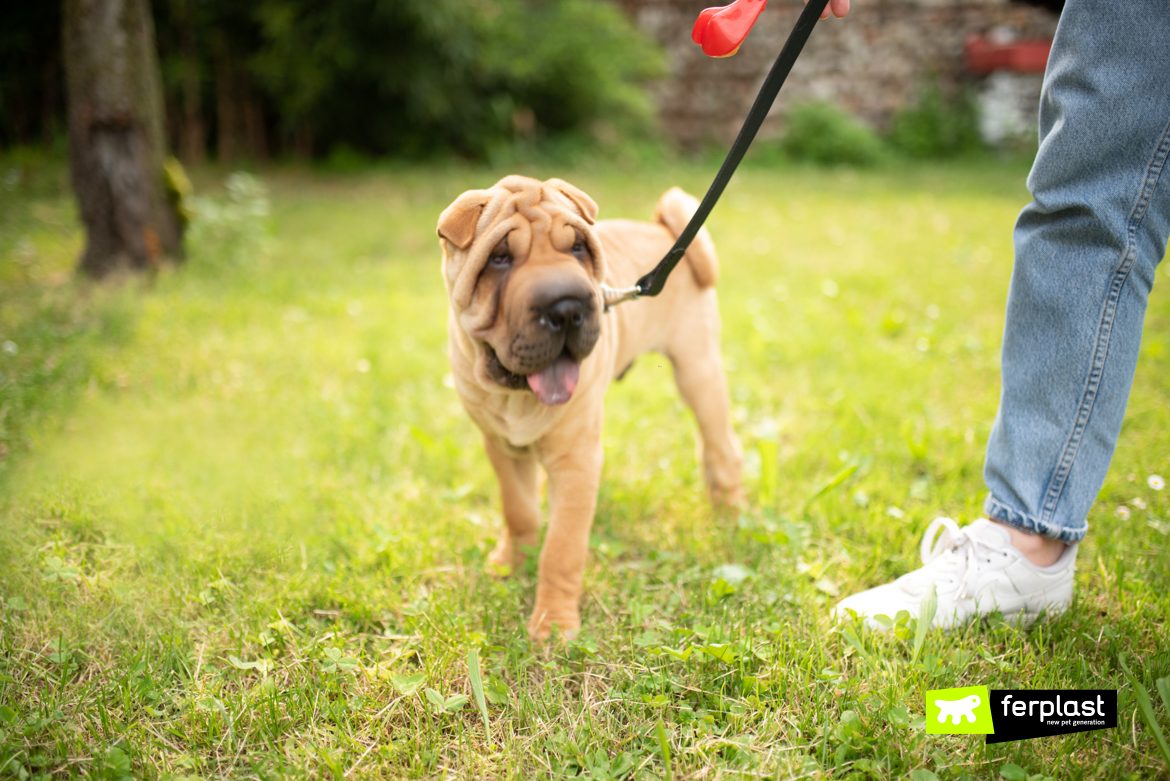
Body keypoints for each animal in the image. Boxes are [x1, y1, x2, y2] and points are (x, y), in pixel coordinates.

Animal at [435, 178, 744, 640]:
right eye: (500, 258)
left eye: (578, 248)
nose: (566, 307)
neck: (516, 395)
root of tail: (663, 231)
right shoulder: (502, 447)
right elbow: (518, 509)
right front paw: (511, 563)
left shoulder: (575, 460)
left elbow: (562, 548)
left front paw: (552, 624)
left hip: (698, 370)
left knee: (723, 449)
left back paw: (734, 520)